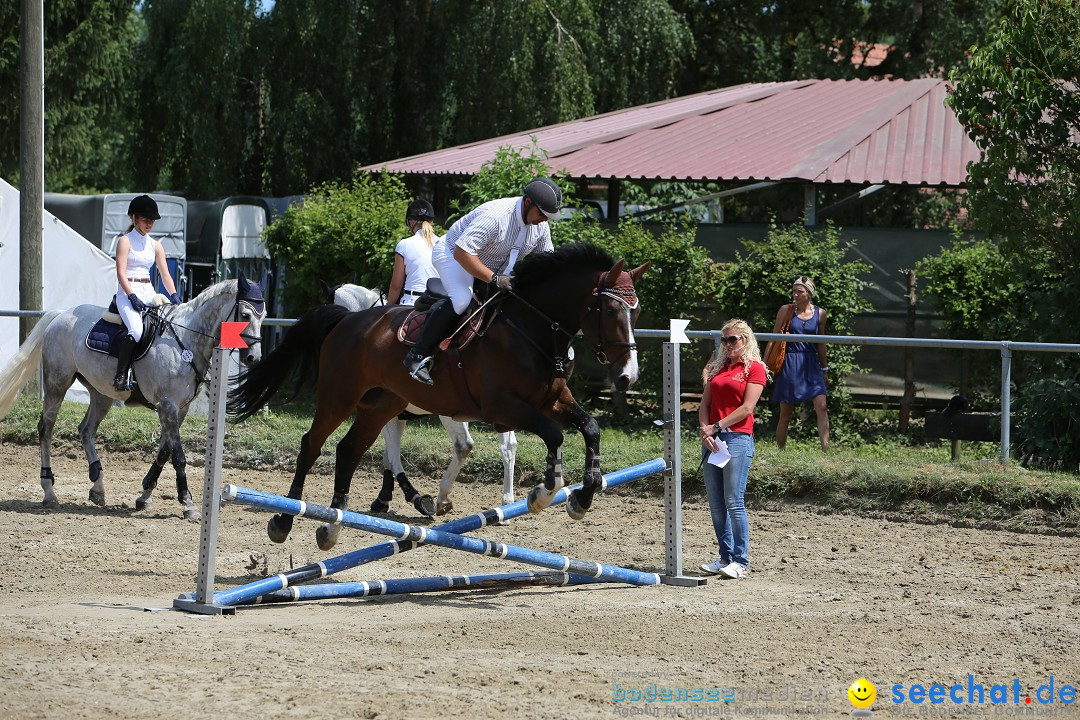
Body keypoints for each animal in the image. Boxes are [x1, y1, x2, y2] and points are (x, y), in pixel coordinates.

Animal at [0, 276, 265, 518]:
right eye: (244, 314)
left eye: (262, 317)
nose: (254, 358)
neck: (186, 341)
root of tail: (60, 315)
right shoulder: (167, 405)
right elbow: (178, 456)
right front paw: (188, 504)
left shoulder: (179, 409)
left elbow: (164, 451)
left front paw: (145, 495)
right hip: (58, 382)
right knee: (47, 427)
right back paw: (49, 491)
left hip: (101, 393)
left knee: (86, 429)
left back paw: (98, 487)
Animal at [324, 284, 518, 515]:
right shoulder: (395, 417)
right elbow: (389, 455)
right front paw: (388, 497)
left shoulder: (385, 416)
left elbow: (391, 455)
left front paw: (396, 497)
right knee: (508, 447)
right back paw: (507, 500)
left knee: (464, 445)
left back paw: (445, 497)